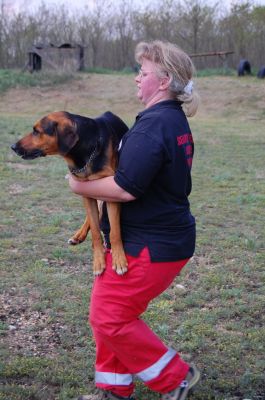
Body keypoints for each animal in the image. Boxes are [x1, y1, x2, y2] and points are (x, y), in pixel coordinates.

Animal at [10, 111, 128, 276]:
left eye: (36, 131)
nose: (13, 147)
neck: (85, 152)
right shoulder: (87, 191)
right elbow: (96, 232)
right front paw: (98, 262)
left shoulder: (112, 192)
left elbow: (115, 232)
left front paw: (119, 261)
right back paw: (79, 235)